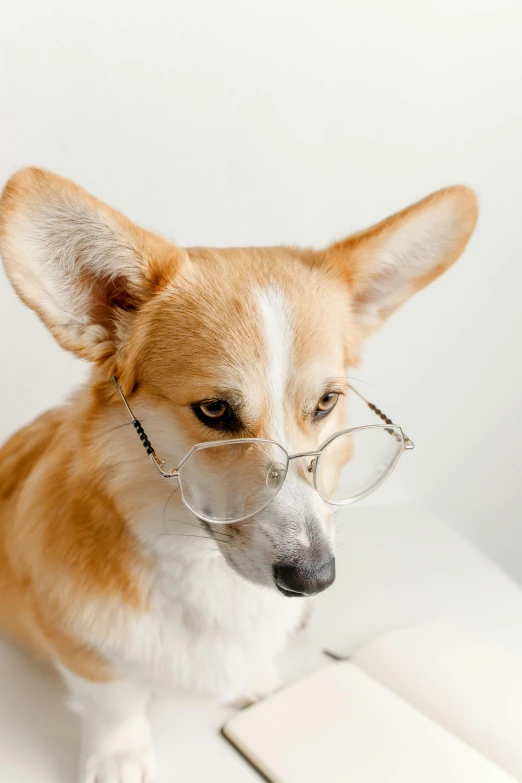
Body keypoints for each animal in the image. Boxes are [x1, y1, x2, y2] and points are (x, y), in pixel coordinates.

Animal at [0, 168, 476, 780]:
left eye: (326, 402)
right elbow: (114, 699)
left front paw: (254, 683)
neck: (202, 569)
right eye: (214, 410)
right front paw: (120, 757)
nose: (313, 579)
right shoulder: (78, 645)